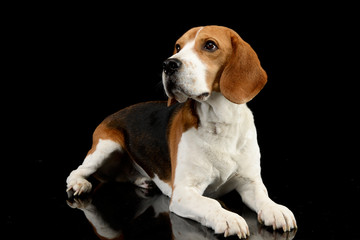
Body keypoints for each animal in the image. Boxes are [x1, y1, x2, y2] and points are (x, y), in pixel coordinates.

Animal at [66, 25, 296, 237]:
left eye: (210, 45)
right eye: (178, 47)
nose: (168, 64)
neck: (219, 123)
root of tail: (112, 114)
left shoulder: (250, 182)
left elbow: (263, 197)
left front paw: (276, 210)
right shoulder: (184, 192)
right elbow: (212, 204)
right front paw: (228, 218)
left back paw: (143, 180)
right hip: (105, 147)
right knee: (78, 171)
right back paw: (79, 184)